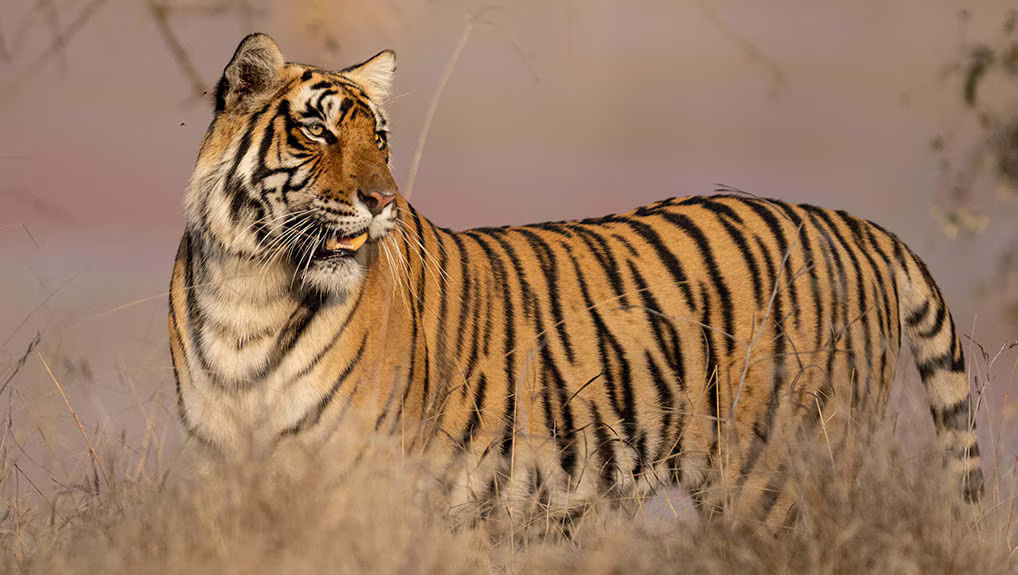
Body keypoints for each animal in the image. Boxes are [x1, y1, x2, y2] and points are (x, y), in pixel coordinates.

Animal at [169, 33, 983, 530]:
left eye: (381, 139)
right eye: (318, 130)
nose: (383, 201)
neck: (251, 285)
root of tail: (851, 223)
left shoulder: (354, 476)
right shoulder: (220, 467)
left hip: (782, 477)